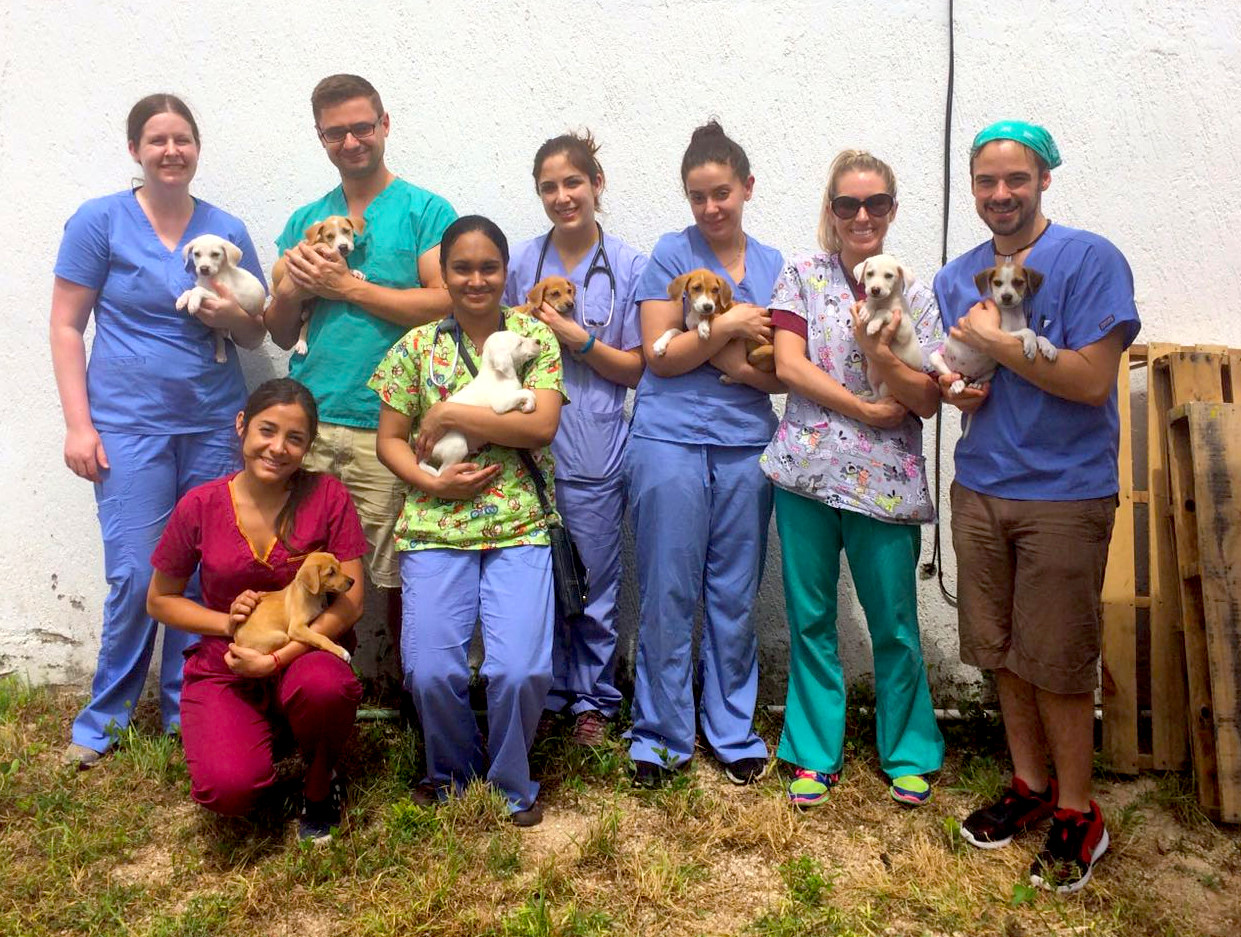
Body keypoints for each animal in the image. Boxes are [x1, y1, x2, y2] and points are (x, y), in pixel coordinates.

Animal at [271, 215, 367, 354]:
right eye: (329, 236)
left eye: (346, 231)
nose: (343, 247)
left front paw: (354, 272)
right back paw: (301, 342)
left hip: (313, 306)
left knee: (305, 324)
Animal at [419, 332, 541, 479]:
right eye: (520, 343)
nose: (539, 341)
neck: (497, 373)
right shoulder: (501, 403)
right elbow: (527, 392)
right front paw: (530, 405)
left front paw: (536, 450)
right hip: (457, 444)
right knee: (442, 472)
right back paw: (468, 472)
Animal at [853, 253, 923, 399]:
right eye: (869, 273)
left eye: (889, 275)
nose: (875, 289)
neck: (884, 301)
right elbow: (871, 302)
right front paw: (867, 310)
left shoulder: (904, 330)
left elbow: (884, 311)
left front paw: (873, 325)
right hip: (871, 374)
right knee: (875, 395)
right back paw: (864, 396)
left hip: (887, 386)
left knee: (882, 397)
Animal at [933, 264, 1057, 394]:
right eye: (997, 283)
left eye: (1018, 282)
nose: (1006, 297)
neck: (1012, 313)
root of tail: (966, 374)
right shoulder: (1002, 333)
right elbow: (1029, 331)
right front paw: (1031, 346)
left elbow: (1039, 335)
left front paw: (1048, 347)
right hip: (936, 359)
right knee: (952, 375)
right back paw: (957, 384)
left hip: (991, 370)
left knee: (980, 377)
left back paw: (977, 384)